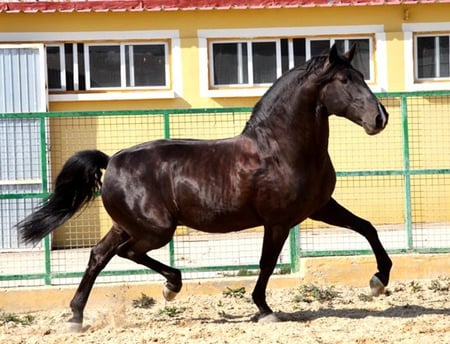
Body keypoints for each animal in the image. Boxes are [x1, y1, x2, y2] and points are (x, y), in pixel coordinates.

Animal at [17, 44, 390, 330]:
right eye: (344, 80)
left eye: (361, 77)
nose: (380, 118)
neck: (280, 150)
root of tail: (113, 161)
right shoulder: (278, 222)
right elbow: (266, 263)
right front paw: (264, 310)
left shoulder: (320, 206)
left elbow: (367, 228)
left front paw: (378, 281)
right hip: (156, 230)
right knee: (127, 253)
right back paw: (171, 286)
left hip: (127, 225)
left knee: (99, 255)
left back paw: (76, 317)